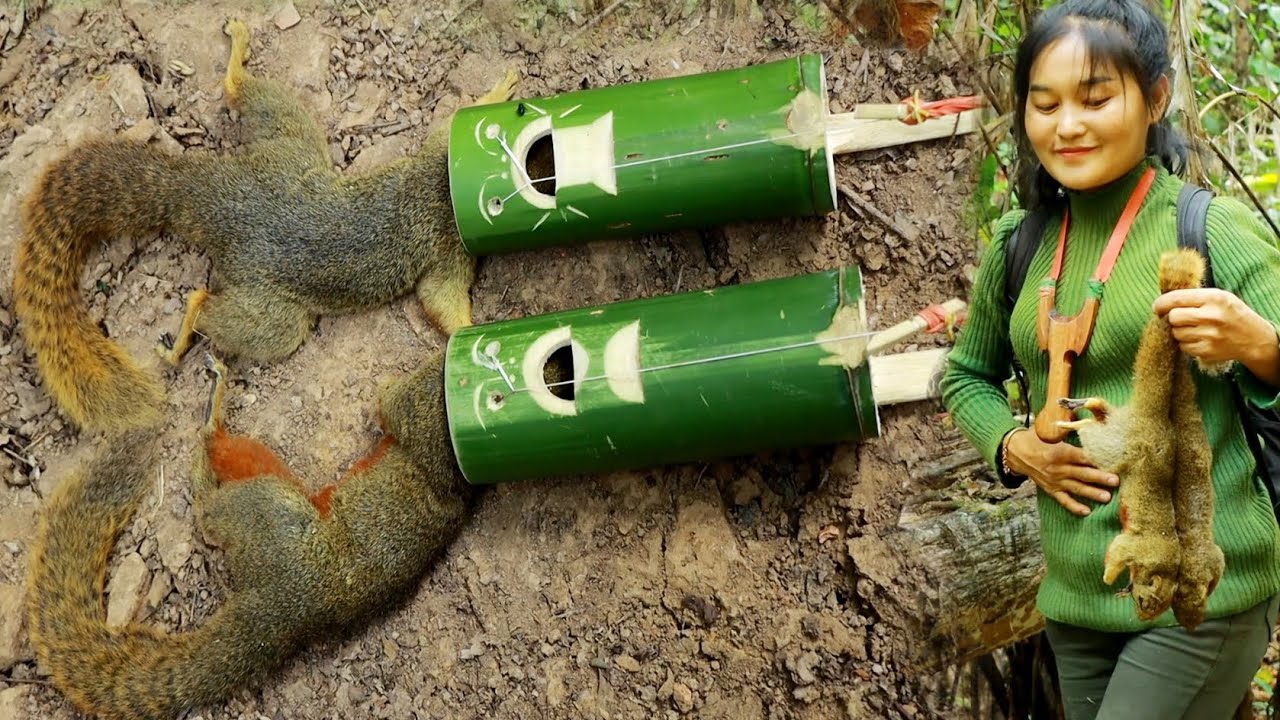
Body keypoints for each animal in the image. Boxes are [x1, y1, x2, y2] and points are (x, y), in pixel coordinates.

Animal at [13, 18, 518, 434]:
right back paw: (178, 343)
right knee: (210, 305)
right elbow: (441, 300)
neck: (442, 189)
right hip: (275, 312)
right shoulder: (446, 248)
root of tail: (217, 200)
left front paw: (499, 90)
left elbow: (444, 126)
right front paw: (474, 334)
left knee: (249, 98)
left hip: (286, 147)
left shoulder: (438, 157)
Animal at [26, 349, 470, 720]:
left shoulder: (425, 404)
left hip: (270, 514)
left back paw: (210, 438)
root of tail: (284, 610)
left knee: (214, 508)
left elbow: (388, 404)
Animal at [1057, 248, 1223, 629]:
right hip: (1113, 445)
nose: (1140, 612)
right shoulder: (1139, 547)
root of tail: (1154, 420)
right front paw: (1108, 581)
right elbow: (1116, 552)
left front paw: (1119, 585)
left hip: (1114, 425)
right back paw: (1065, 423)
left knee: (1099, 407)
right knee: (1089, 428)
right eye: (1148, 601)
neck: (1171, 565)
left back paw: (1073, 409)